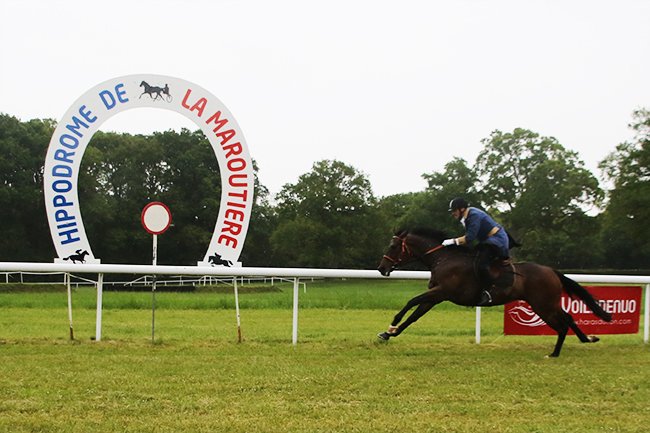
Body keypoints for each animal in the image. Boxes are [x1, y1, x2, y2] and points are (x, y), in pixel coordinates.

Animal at [376, 228, 612, 357]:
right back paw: (587, 339)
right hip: (546, 304)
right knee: (569, 317)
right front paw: (389, 334)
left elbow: (410, 302)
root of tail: (551, 271)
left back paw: (554, 353)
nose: (381, 268)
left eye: (393, 247)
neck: (443, 259)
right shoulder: (435, 296)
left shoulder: (441, 292)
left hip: (543, 305)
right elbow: (414, 316)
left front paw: (391, 325)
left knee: (563, 324)